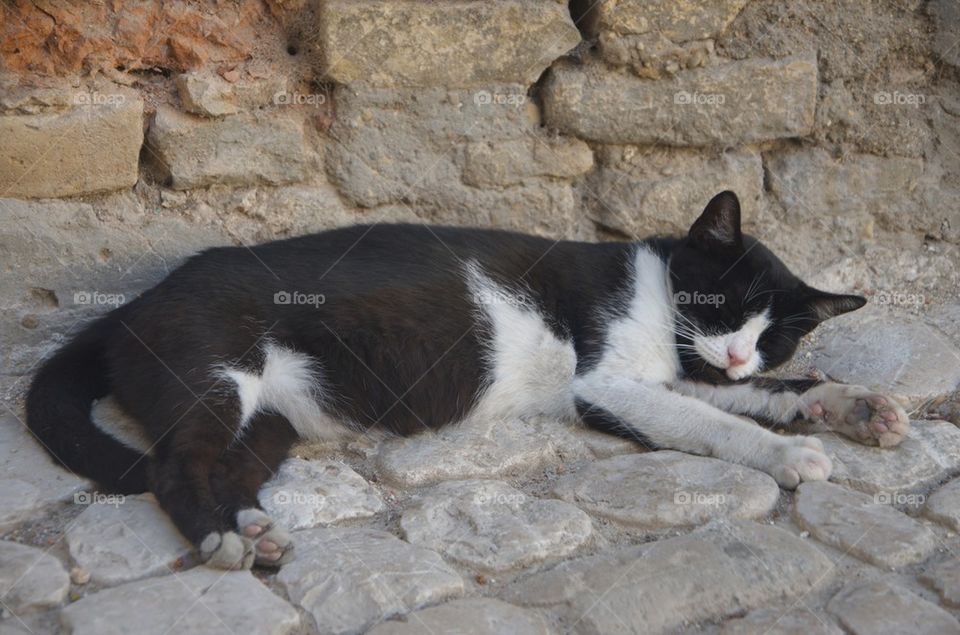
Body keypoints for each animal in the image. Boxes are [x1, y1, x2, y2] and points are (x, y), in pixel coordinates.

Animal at [22, 191, 908, 568]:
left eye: (776, 335)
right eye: (726, 304)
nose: (736, 352)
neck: (659, 299)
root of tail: (137, 300)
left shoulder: (678, 375)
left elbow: (757, 396)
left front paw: (851, 405)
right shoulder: (609, 383)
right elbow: (719, 421)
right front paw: (790, 456)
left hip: (270, 418)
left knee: (228, 467)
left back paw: (254, 530)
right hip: (216, 374)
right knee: (174, 466)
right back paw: (219, 539)